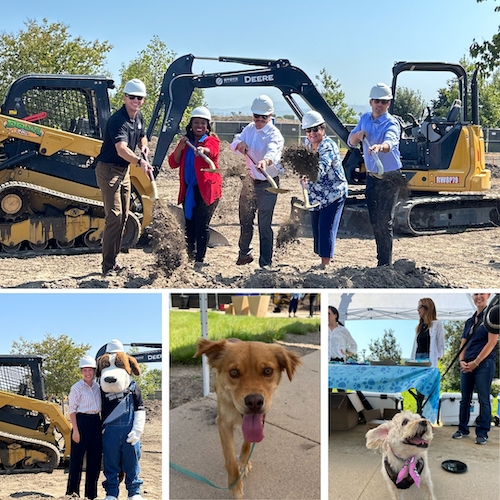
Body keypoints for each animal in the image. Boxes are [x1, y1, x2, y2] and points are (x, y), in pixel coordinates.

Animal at [194, 338, 300, 498]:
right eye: (234, 372)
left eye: (268, 371)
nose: (254, 402)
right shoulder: (224, 423)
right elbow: (230, 458)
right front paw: (235, 486)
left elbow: (247, 443)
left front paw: (244, 463)